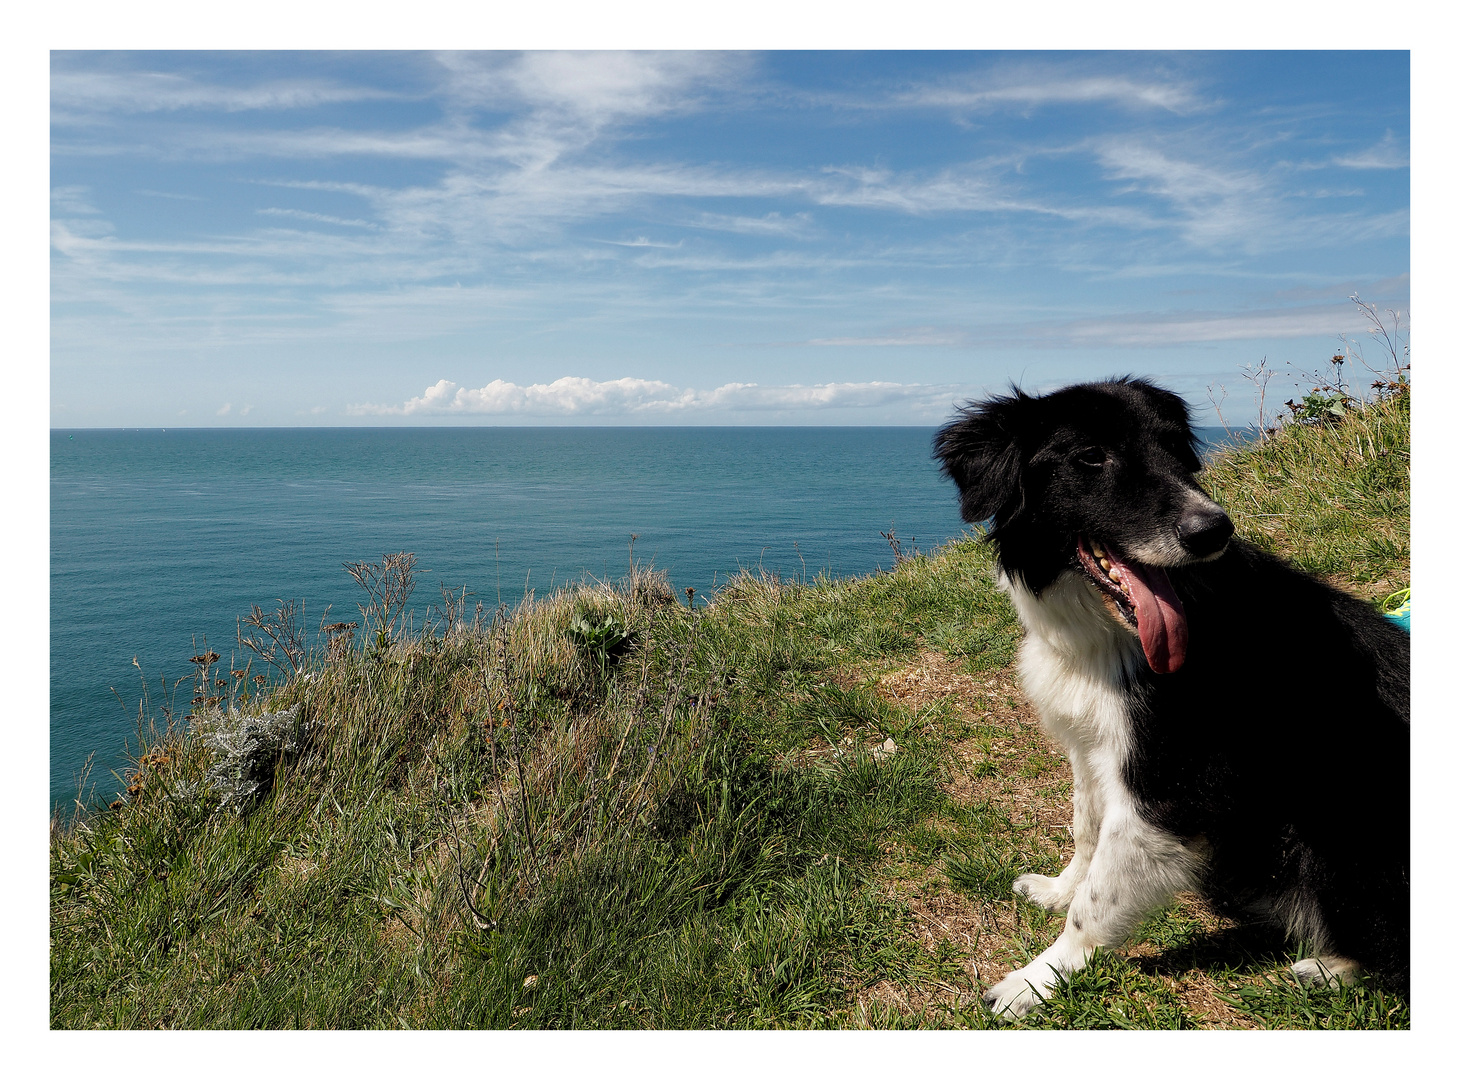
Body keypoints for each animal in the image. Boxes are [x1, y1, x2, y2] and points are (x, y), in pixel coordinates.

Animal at [928, 376, 1407, 1015]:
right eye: (1091, 458)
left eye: (1177, 450)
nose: (1213, 530)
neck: (1111, 636)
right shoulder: (1092, 743)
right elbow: (1086, 828)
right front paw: (1057, 890)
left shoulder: (1173, 781)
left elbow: (1097, 901)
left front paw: (1037, 978)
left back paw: (1326, 969)